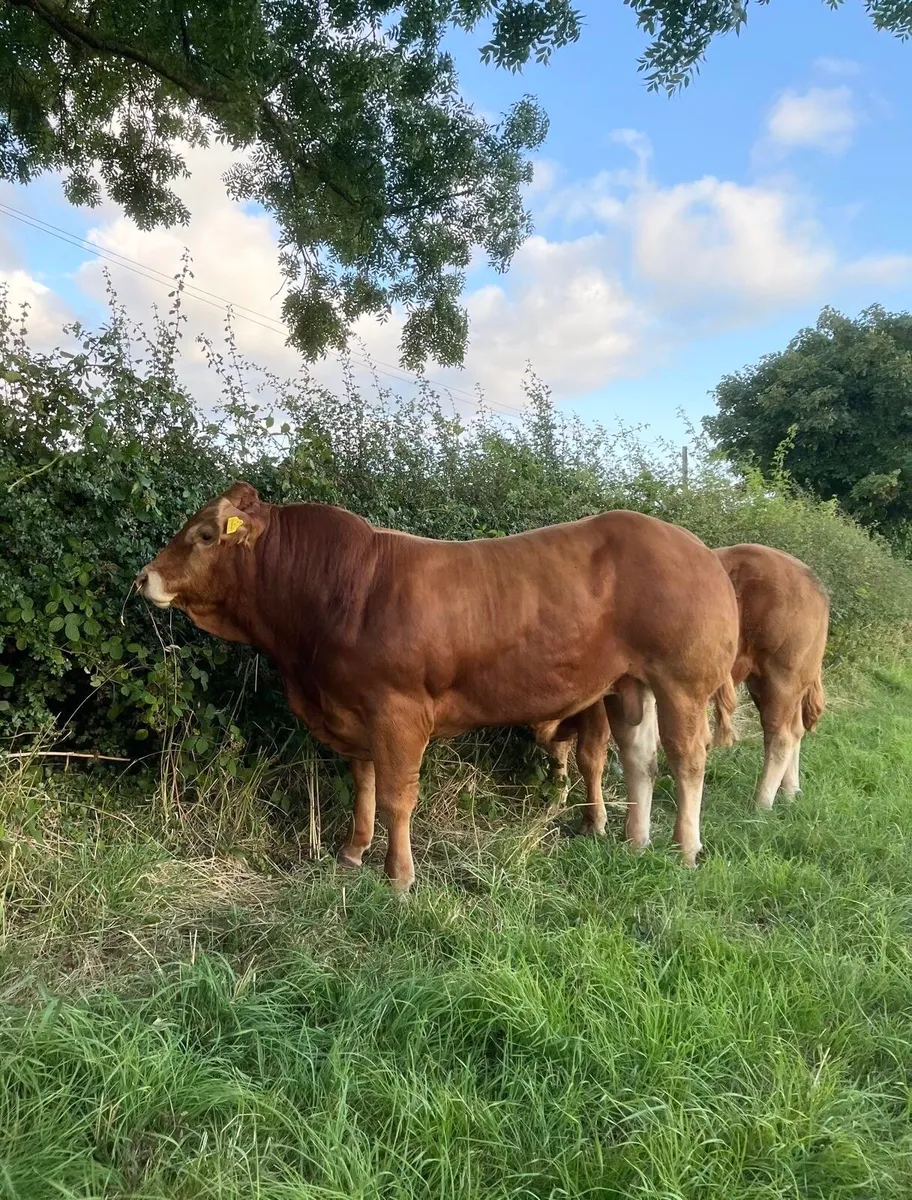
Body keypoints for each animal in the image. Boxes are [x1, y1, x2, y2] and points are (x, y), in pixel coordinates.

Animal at [135, 482, 739, 891]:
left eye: (205, 535)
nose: (145, 576)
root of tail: (700, 549)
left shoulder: (398, 712)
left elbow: (397, 796)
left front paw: (399, 877)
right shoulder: (354, 714)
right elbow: (365, 786)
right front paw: (352, 852)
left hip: (683, 682)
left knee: (688, 760)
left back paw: (686, 848)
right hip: (629, 685)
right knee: (640, 760)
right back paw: (636, 842)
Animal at [535, 542, 829, 820]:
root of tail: (811, 576)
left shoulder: (596, 702)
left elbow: (588, 756)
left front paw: (593, 817)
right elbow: (557, 751)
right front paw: (556, 802)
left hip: (781, 676)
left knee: (779, 736)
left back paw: (761, 803)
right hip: (778, 681)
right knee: (795, 729)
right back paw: (789, 792)